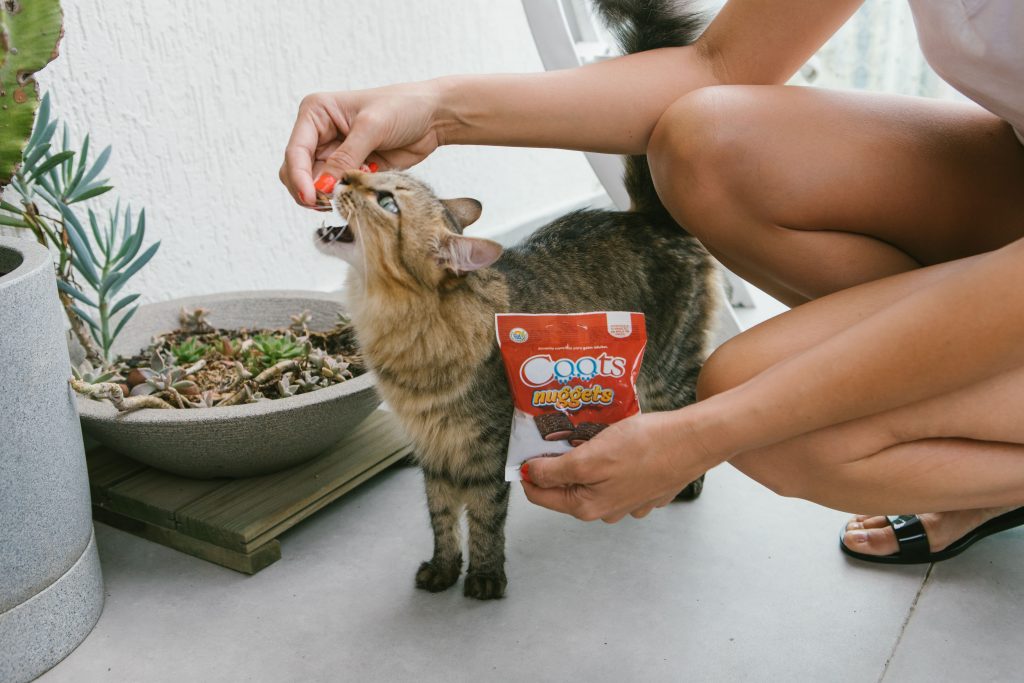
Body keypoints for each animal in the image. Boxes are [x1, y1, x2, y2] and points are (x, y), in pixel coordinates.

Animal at [311, 0, 720, 598]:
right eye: (370, 174)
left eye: (385, 201)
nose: (339, 174)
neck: (396, 323)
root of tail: (643, 216)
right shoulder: (433, 452)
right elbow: (440, 517)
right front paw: (441, 570)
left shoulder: (484, 450)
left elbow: (483, 517)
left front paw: (483, 578)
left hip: (667, 369)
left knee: (689, 412)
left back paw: (682, 482)